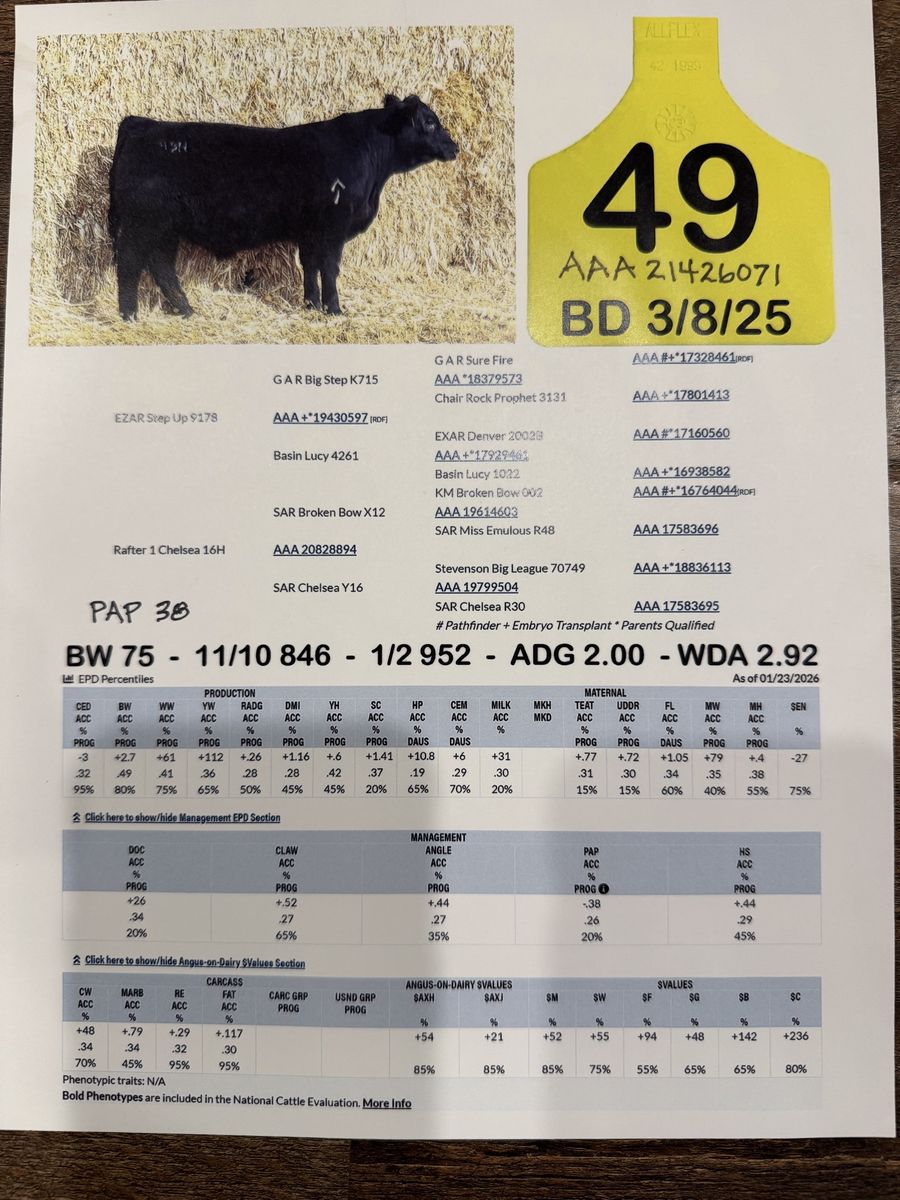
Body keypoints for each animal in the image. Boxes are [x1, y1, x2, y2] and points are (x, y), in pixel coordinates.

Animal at [107, 94, 458, 321]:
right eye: (429, 123)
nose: (455, 147)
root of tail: (142, 124)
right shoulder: (332, 229)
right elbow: (329, 268)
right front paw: (334, 309)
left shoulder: (311, 232)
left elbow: (311, 267)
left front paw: (312, 305)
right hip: (144, 223)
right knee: (130, 264)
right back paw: (130, 315)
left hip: (166, 228)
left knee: (161, 265)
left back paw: (185, 310)